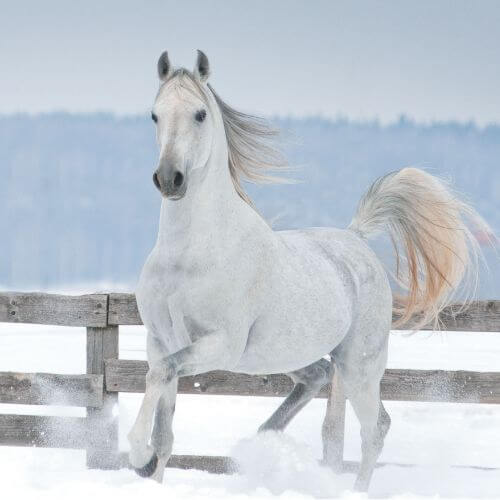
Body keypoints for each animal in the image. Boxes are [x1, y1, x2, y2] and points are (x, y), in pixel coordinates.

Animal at [128, 50, 488, 492]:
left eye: (199, 114)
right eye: (155, 115)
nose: (169, 179)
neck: (189, 255)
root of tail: (355, 238)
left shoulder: (220, 344)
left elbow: (161, 376)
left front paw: (136, 453)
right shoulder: (160, 340)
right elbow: (163, 421)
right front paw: (148, 467)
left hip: (358, 364)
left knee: (375, 427)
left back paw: (353, 489)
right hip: (286, 354)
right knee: (319, 380)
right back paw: (265, 438)